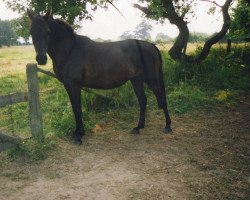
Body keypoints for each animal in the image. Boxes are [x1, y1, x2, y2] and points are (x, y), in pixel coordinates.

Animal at [27, 10, 172, 144]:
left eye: (47, 32)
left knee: (161, 99)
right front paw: (76, 133)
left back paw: (168, 126)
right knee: (143, 100)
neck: (70, 50)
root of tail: (151, 46)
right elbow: (74, 108)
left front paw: (79, 136)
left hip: (151, 80)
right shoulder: (68, 85)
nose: (41, 59)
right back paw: (138, 128)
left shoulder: (74, 85)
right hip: (136, 80)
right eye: (31, 32)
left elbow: (78, 109)